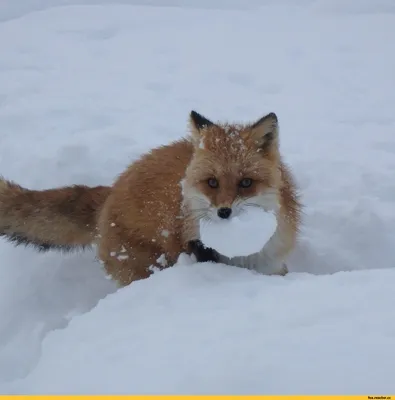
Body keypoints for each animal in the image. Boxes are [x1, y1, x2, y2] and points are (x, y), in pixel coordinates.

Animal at [0, 111, 300, 286]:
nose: (223, 212)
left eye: (246, 183)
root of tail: (112, 190)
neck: (243, 253)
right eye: (212, 182)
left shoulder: (271, 266)